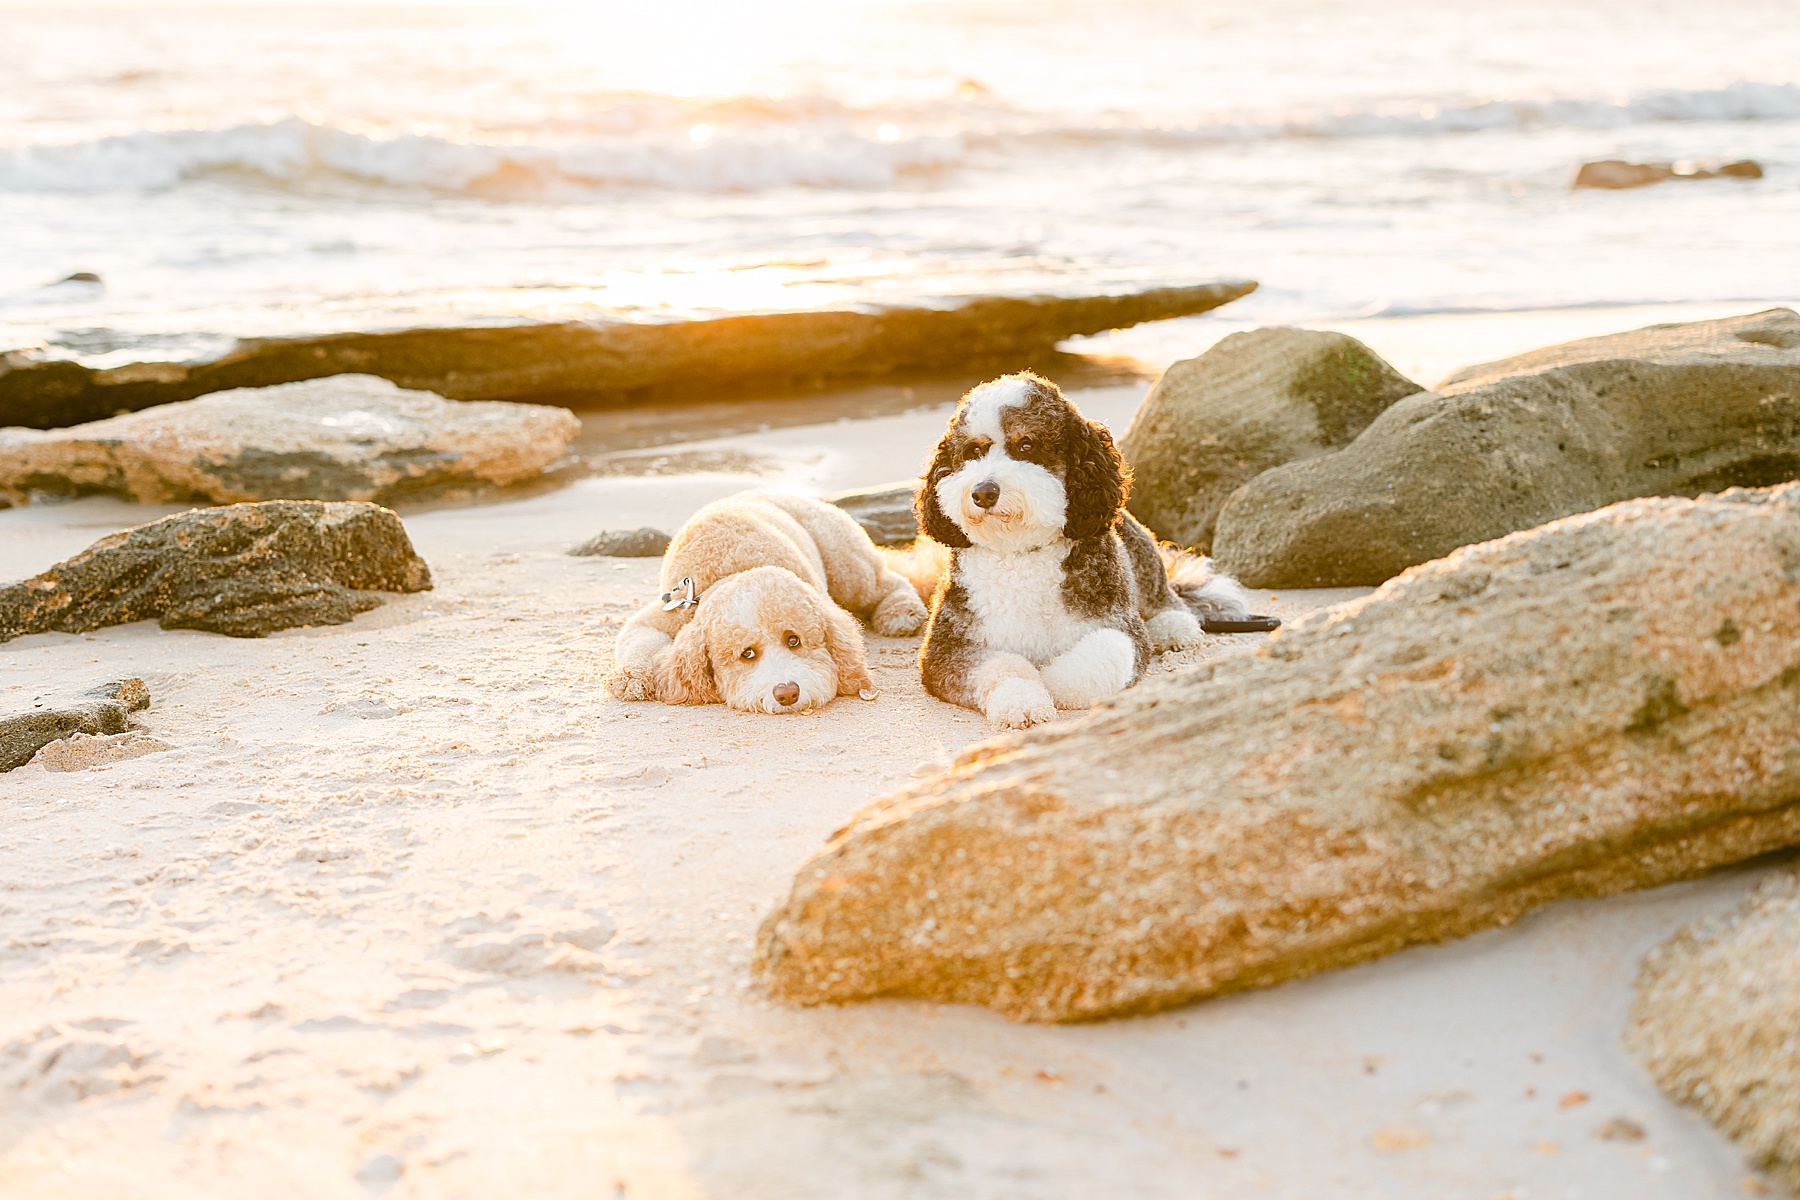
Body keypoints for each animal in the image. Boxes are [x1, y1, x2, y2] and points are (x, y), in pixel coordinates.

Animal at [612, 489, 936, 712]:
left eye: (794, 640)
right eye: (747, 654)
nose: (787, 693)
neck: (732, 570)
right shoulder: (668, 610)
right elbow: (638, 640)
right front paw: (629, 678)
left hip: (848, 567)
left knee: (889, 580)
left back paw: (900, 611)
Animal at [914, 370, 1267, 726]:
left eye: (1026, 445)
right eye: (973, 451)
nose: (984, 492)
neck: (1021, 552)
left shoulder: (1122, 627)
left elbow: (1103, 656)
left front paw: (1050, 681)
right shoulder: (947, 644)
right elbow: (1001, 667)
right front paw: (1022, 702)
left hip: (1142, 555)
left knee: (1166, 599)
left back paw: (1173, 628)